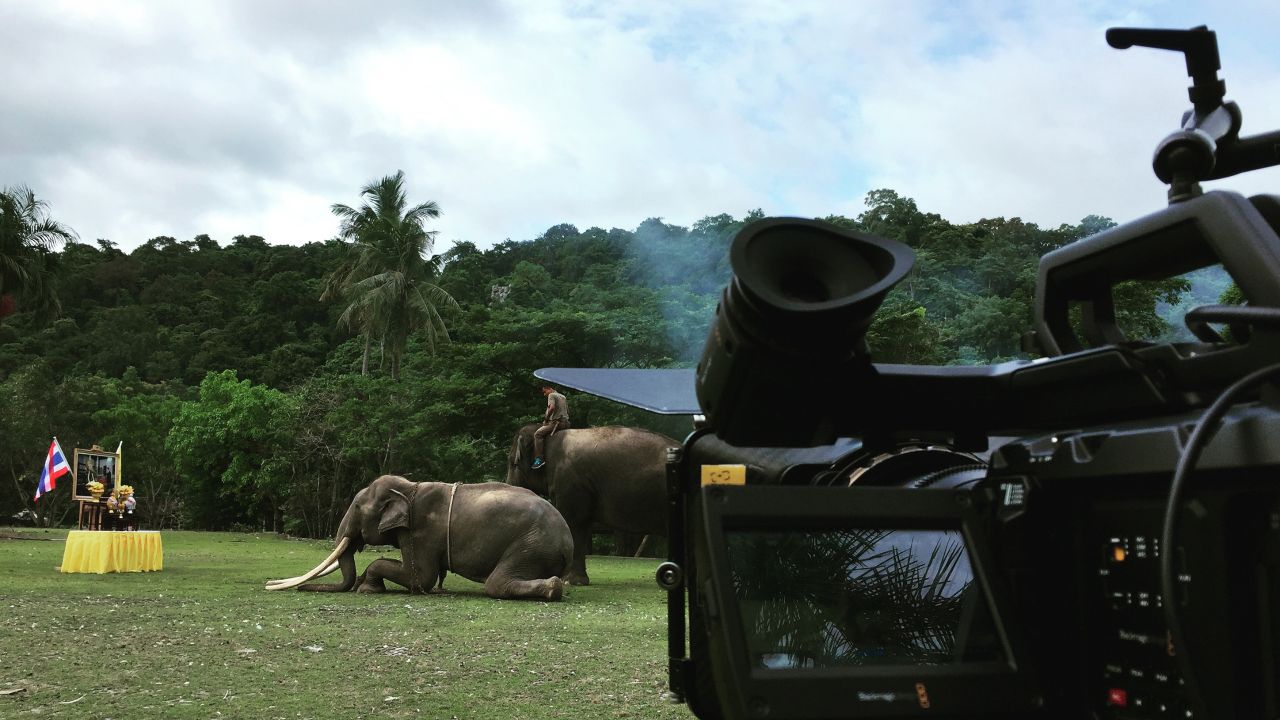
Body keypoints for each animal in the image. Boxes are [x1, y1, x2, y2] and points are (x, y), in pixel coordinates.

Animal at [264, 474, 570, 597]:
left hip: (531, 545)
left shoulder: (422, 532)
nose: (302, 589)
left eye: (358, 507)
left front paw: (367, 586)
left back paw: (553, 588)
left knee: (496, 583)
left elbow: (421, 577)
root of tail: (569, 541)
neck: (409, 487)